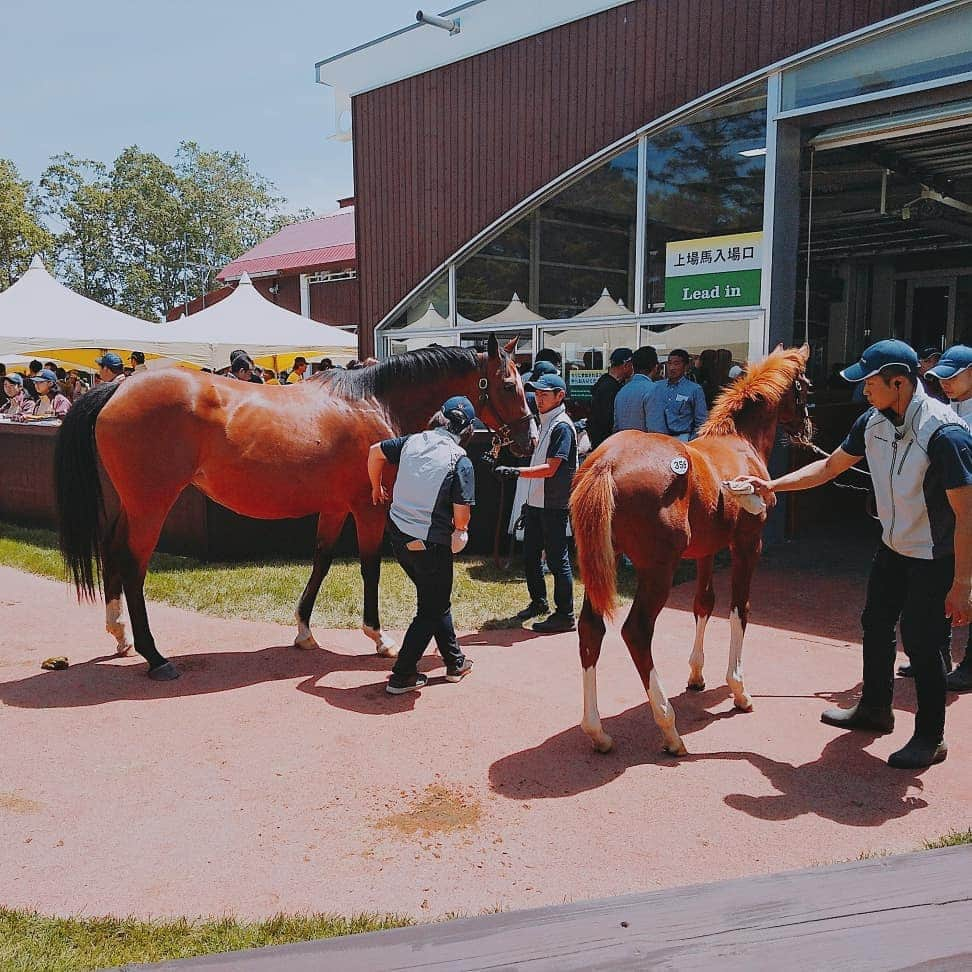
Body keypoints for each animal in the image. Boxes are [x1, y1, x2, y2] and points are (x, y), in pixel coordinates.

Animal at [57, 338, 536, 680]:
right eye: (509, 385)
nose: (528, 440)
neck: (373, 401)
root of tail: (118, 387)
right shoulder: (368, 507)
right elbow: (369, 566)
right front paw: (379, 637)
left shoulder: (334, 507)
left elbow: (321, 561)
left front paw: (304, 631)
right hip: (151, 505)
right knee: (133, 565)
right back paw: (155, 657)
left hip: (131, 504)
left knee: (110, 551)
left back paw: (119, 634)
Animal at [568, 346, 812, 756]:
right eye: (805, 386)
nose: (808, 430)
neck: (739, 442)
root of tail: (607, 462)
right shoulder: (748, 545)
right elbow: (739, 609)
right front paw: (738, 689)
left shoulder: (705, 551)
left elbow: (704, 603)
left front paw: (697, 674)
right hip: (658, 571)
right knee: (637, 632)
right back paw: (669, 729)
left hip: (602, 561)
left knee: (590, 628)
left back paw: (596, 731)